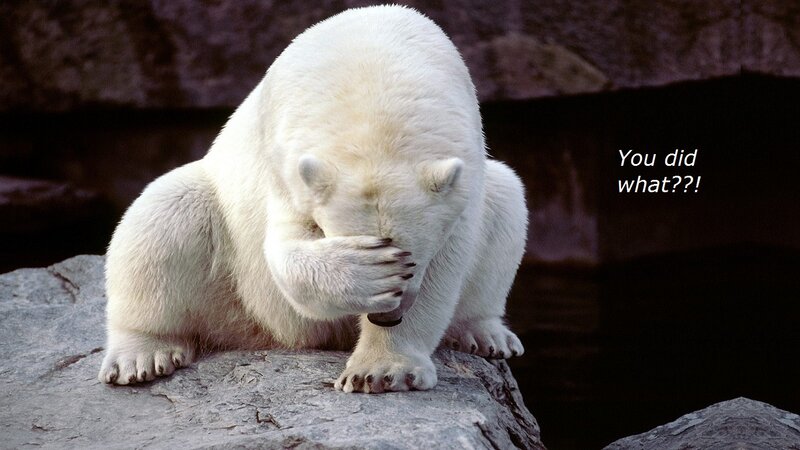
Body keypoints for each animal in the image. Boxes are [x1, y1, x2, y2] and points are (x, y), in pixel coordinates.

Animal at [98, 5, 527, 393]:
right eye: (391, 257)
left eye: (412, 260)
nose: (387, 318)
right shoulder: (285, 162)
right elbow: (285, 249)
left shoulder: (464, 174)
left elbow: (449, 263)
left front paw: (382, 371)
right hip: (228, 280)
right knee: (164, 213)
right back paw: (141, 355)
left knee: (506, 199)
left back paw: (485, 333)